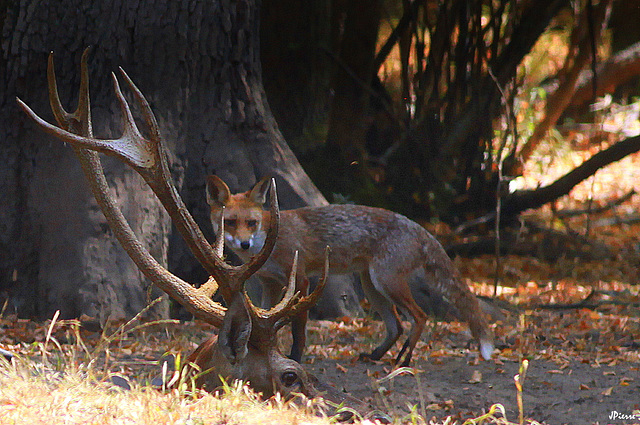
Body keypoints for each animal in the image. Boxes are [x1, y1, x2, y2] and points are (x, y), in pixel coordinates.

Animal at [205, 176, 496, 364]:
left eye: (251, 223)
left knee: (420, 316)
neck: (268, 239)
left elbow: (298, 328)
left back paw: (404, 360)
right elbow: (262, 318)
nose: (244, 243)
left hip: (386, 282)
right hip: (372, 286)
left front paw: (295, 357)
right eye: (230, 222)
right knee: (397, 326)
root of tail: (419, 227)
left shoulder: (301, 281)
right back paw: (377, 355)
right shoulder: (270, 283)